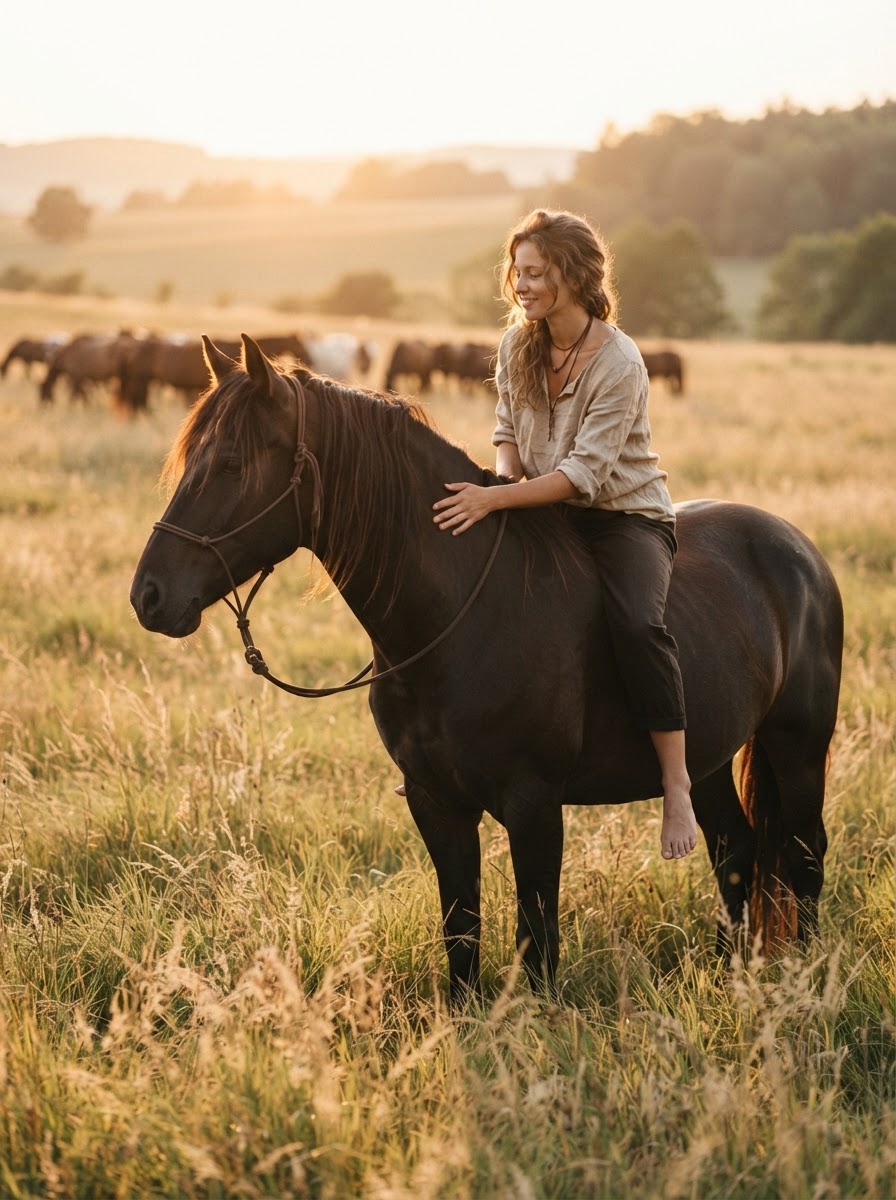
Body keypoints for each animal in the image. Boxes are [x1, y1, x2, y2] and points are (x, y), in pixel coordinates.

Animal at [131, 335, 843, 1004]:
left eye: (230, 464)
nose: (149, 596)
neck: (457, 615)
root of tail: (799, 549)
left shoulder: (535, 806)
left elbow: (538, 938)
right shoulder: (436, 802)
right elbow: (461, 928)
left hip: (799, 747)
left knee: (803, 855)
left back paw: (802, 981)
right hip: (710, 757)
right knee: (736, 852)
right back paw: (729, 974)